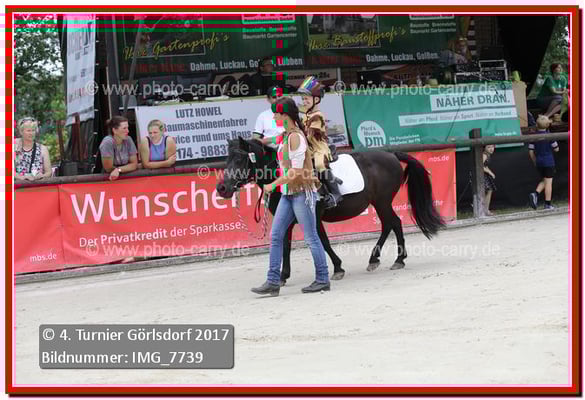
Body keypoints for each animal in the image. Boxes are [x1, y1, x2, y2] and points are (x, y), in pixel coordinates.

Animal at [216, 137, 445, 286]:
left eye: (239, 159)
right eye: (227, 159)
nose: (222, 188)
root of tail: (391, 154)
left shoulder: (315, 217)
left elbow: (323, 242)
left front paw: (337, 268)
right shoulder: (288, 219)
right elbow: (285, 245)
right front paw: (282, 277)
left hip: (382, 202)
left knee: (392, 223)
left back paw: (391, 259)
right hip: (380, 202)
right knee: (392, 223)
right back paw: (387, 259)